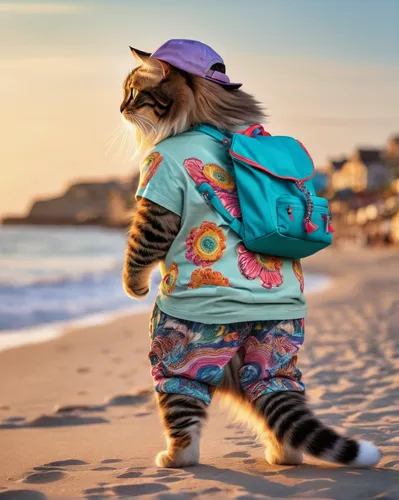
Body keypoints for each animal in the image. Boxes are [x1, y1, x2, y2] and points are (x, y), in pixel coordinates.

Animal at [121, 43, 382, 468]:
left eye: (133, 93)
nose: (120, 108)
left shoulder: (159, 184)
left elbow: (141, 247)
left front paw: (133, 285)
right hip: (274, 339)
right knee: (277, 396)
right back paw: (284, 454)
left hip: (184, 343)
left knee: (181, 398)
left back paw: (176, 457)